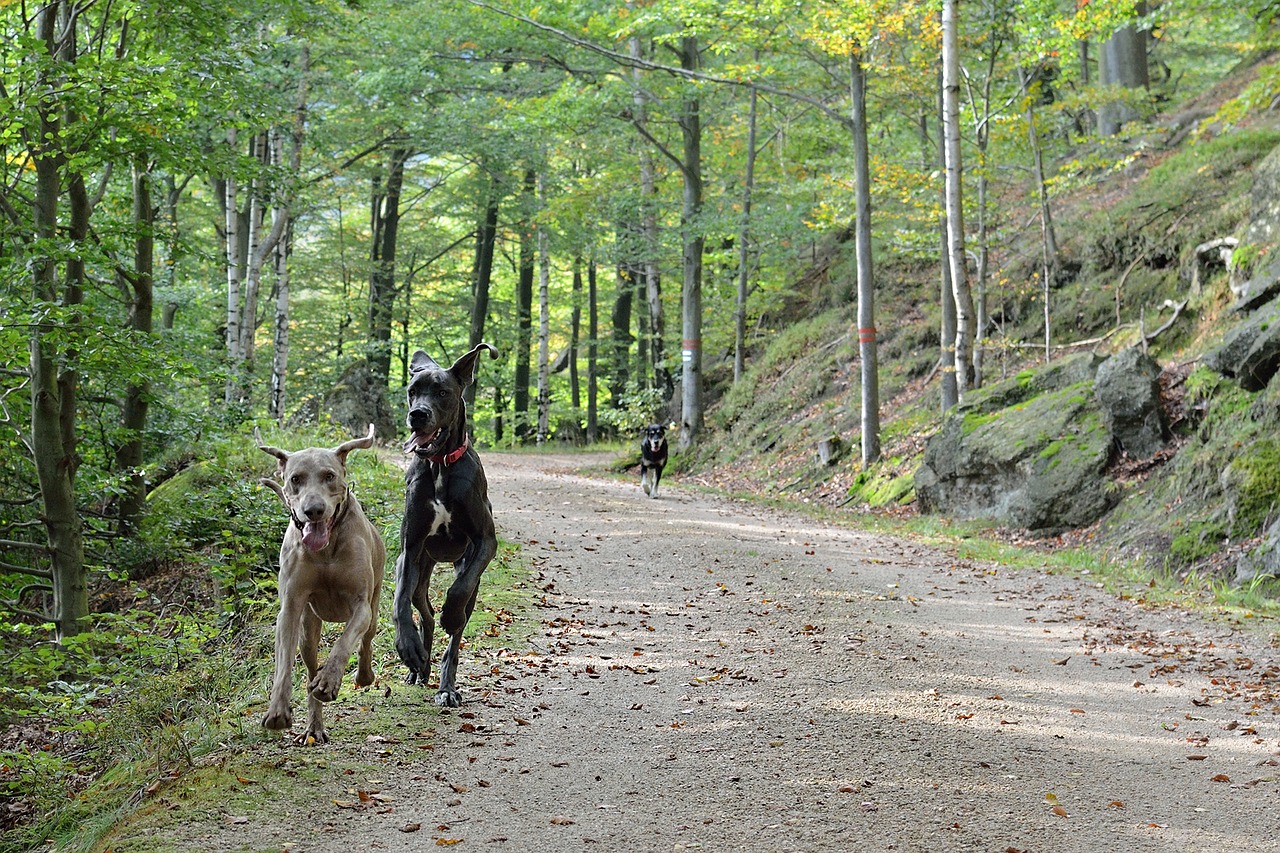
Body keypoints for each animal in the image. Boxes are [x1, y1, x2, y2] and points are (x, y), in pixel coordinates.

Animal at [256, 422, 384, 742]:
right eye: (295, 479)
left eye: (329, 476)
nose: (314, 510)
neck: (325, 549)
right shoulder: (290, 607)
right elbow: (283, 663)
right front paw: (277, 709)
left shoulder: (361, 604)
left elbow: (344, 642)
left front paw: (329, 682)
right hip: (308, 627)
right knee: (310, 664)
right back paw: (314, 726)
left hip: (375, 606)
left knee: (366, 639)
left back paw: (363, 675)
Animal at [396, 338, 496, 701]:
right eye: (412, 391)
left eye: (442, 392)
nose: (417, 415)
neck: (440, 466)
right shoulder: (410, 549)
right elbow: (399, 603)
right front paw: (407, 646)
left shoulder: (485, 542)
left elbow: (459, 591)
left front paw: (450, 616)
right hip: (420, 569)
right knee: (420, 608)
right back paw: (419, 665)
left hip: (467, 572)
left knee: (458, 624)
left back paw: (446, 686)